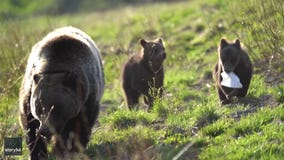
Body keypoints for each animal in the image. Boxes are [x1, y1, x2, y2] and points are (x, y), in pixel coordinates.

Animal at [19, 26, 105, 159]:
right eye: (38, 106)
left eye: (56, 107)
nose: (45, 130)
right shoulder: (29, 93)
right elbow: (30, 123)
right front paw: (38, 152)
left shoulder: (86, 97)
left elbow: (79, 126)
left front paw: (69, 149)